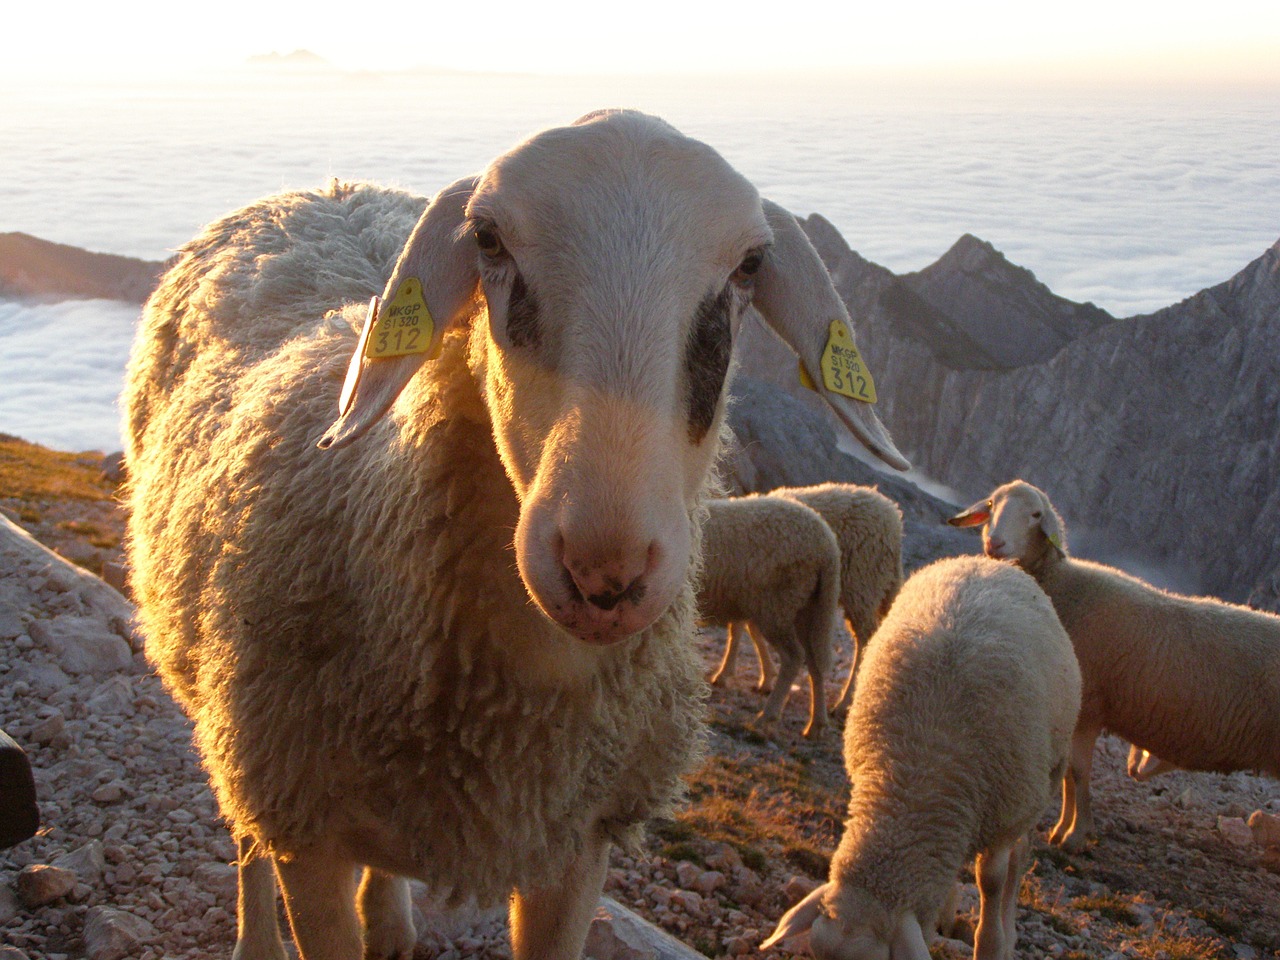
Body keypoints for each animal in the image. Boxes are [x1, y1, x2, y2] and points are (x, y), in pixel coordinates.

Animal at [696, 496, 844, 737]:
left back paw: (767, 716)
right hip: (808, 608)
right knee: (814, 661)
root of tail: (828, 546)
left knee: (794, 658)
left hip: (777, 606)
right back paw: (816, 724)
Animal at [716, 483, 906, 716]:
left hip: (860, 583)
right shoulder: (750, 589)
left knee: (865, 638)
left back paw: (844, 703)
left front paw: (725, 674)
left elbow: (740, 628)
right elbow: (748, 628)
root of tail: (891, 513)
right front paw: (766, 677)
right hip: (883, 582)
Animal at [757, 555, 1080, 960]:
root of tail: (984, 562)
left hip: (1041, 781)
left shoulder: (1003, 808)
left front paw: (992, 944)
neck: (918, 774)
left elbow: (991, 880)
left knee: (1017, 858)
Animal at [947, 483, 1280, 855]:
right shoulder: (1076, 714)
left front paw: (1075, 835)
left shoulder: (1089, 709)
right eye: (992, 504)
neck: (1061, 584)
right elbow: (1070, 777)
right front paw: (1063, 829)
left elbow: (1079, 774)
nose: (995, 544)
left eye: (1035, 514)